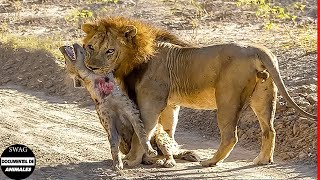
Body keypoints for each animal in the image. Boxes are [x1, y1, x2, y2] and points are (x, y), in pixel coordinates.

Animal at [80, 16, 318, 167]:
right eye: (91, 47)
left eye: (110, 51)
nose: (91, 67)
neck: (135, 58)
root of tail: (257, 49)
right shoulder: (170, 104)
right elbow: (168, 130)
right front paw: (167, 155)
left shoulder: (150, 102)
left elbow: (143, 132)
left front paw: (132, 159)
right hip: (264, 96)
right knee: (270, 130)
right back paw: (262, 160)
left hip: (227, 98)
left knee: (230, 136)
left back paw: (210, 162)